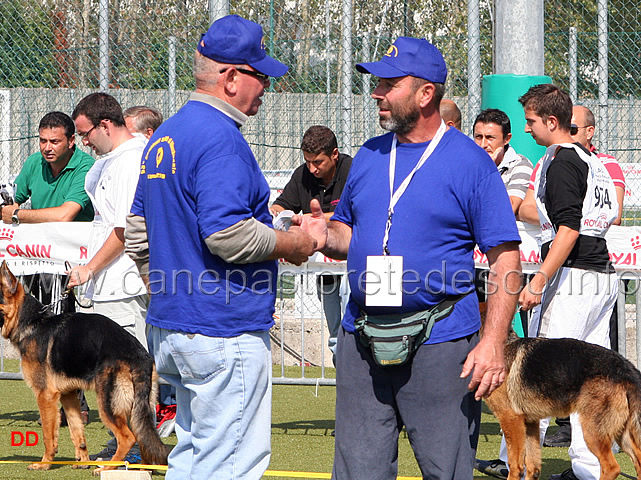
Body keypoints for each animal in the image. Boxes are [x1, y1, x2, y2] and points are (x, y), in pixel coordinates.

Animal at [0, 262, 168, 476]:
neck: (33, 323)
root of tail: (140, 356)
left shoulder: (45, 396)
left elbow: (48, 435)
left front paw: (45, 463)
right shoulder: (69, 395)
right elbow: (76, 430)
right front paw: (82, 461)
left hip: (108, 404)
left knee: (127, 437)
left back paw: (108, 467)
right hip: (139, 407)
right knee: (142, 436)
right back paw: (142, 469)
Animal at [482, 336, 640, 480]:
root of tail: (627, 369)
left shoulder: (510, 419)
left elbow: (515, 467)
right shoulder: (530, 423)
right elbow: (533, 467)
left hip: (593, 433)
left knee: (612, 468)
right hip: (621, 433)